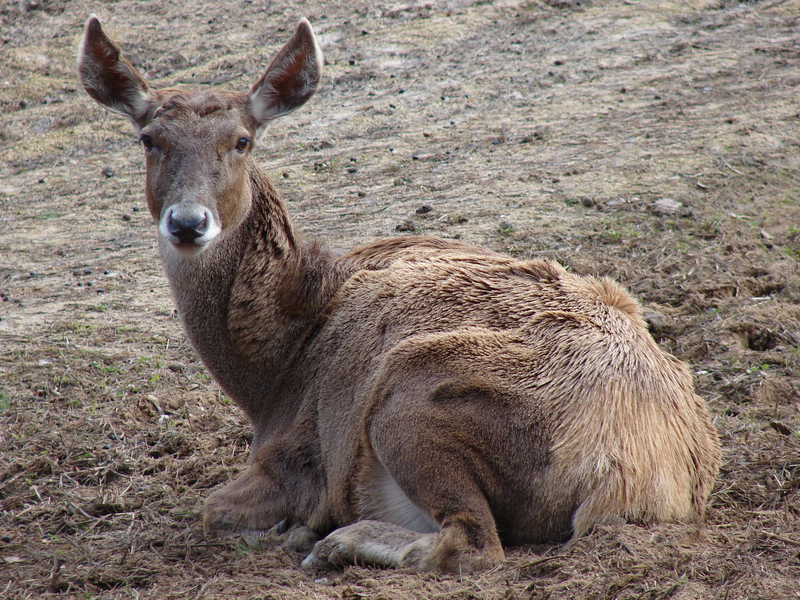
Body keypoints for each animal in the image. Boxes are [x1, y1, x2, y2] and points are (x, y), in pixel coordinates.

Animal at [78, 15, 721, 572]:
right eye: (148, 139)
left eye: (241, 141)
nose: (188, 222)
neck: (271, 372)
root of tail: (634, 481)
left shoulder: (295, 458)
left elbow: (213, 510)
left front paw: (290, 529)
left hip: (412, 397)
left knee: (474, 544)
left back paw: (332, 541)